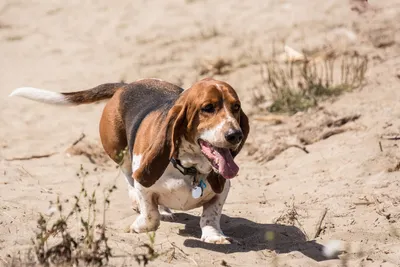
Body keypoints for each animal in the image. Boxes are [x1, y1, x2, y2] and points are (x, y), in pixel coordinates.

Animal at [10, 77, 248, 245]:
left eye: (236, 107)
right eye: (208, 108)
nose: (235, 135)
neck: (188, 169)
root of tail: (126, 86)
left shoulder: (222, 189)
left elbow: (210, 215)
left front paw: (213, 235)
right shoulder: (142, 180)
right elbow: (150, 214)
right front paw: (139, 225)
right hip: (119, 151)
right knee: (127, 176)